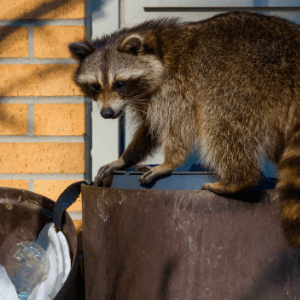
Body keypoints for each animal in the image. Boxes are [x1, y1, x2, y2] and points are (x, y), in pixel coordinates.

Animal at [68, 11, 300, 246]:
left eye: (120, 83)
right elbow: (149, 129)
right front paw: (125, 158)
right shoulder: (147, 97)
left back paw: (238, 179)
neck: (156, 51)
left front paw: (169, 162)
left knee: (219, 122)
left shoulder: (174, 87)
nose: (107, 113)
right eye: (95, 86)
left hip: (245, 82)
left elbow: (176, 125)